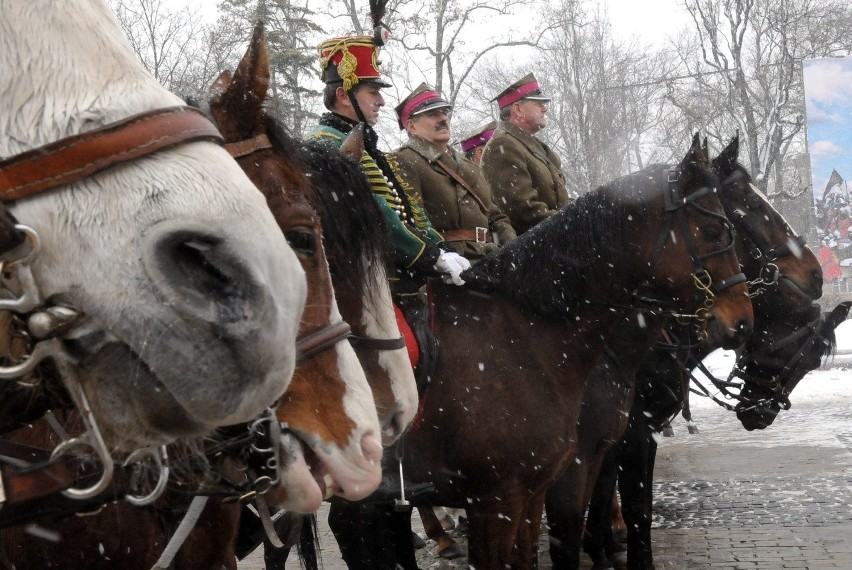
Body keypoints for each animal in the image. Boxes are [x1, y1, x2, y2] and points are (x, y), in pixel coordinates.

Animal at [330, 133, 756, 568]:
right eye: (714, 229)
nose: (742, 321)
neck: (524, 333)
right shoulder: (503, 495)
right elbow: (574, 532)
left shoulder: (546, 482)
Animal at [544, 138, 828, 568]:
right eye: (748, 203)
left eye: (813, 363)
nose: (816, 275)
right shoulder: (632, 430)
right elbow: (633, 506)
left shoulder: (631, 432)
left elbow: (617, 496)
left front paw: (603, 545)